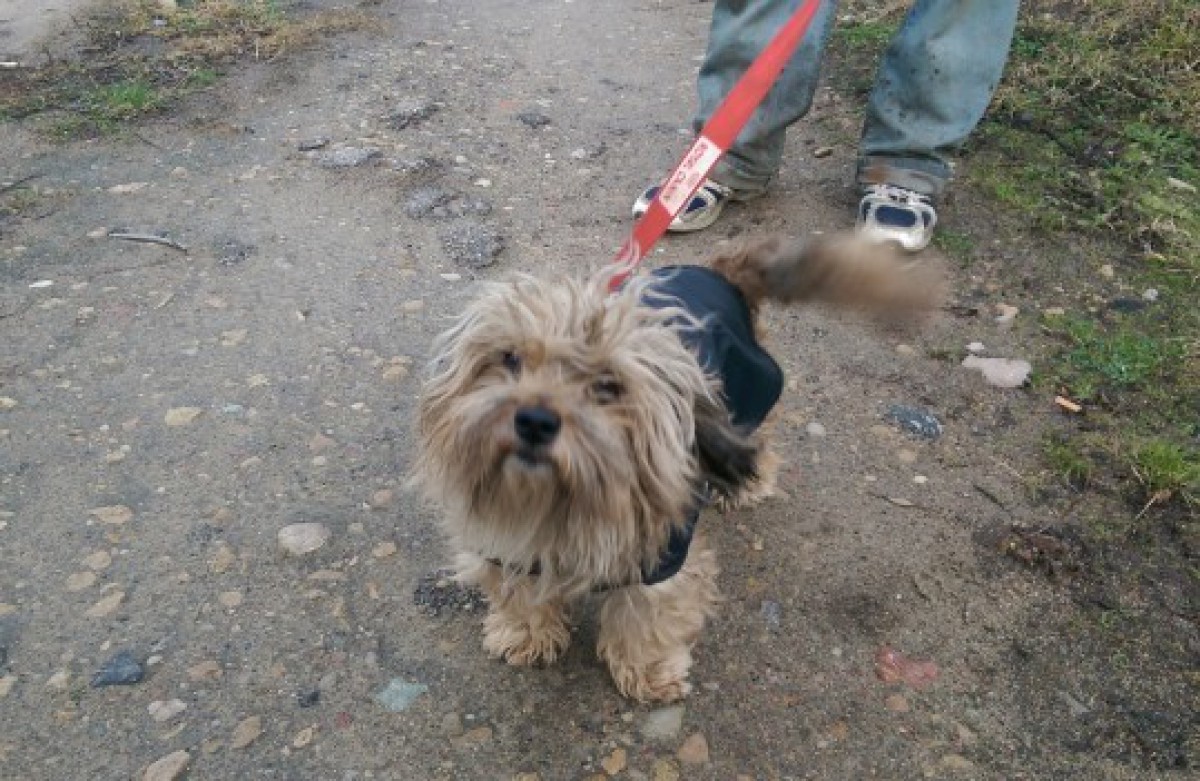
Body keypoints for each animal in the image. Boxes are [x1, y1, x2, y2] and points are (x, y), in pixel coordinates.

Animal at [415, 234, 943, 702]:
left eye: (608, 386)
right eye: (509, 358)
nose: (534, 420)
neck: (569, 500)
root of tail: (719, 271)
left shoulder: (665, 555)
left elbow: (647, 615)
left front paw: (646, 671)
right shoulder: (510, 540)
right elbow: (519, 591)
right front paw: (526, 633)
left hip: (747, 397)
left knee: (756, 444)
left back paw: (749, 484)